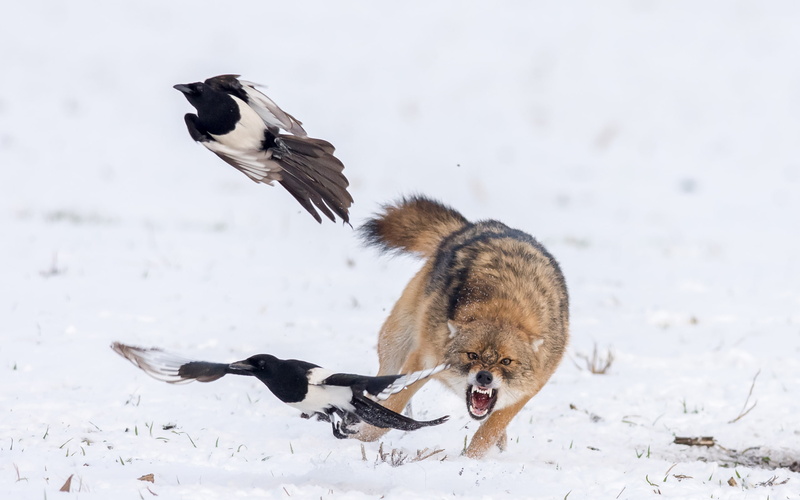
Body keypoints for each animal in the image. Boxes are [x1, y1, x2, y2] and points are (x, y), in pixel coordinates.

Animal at [355, 195, 569, 458]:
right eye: (472, 355)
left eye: (506, 361)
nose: (484, 376)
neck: (503, 311)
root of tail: (469, 227)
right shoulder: (422, 362)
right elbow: (392, 408)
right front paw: (359, 440)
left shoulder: (528, 390)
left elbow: (487, 433)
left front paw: (470, 461)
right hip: (395, 342)